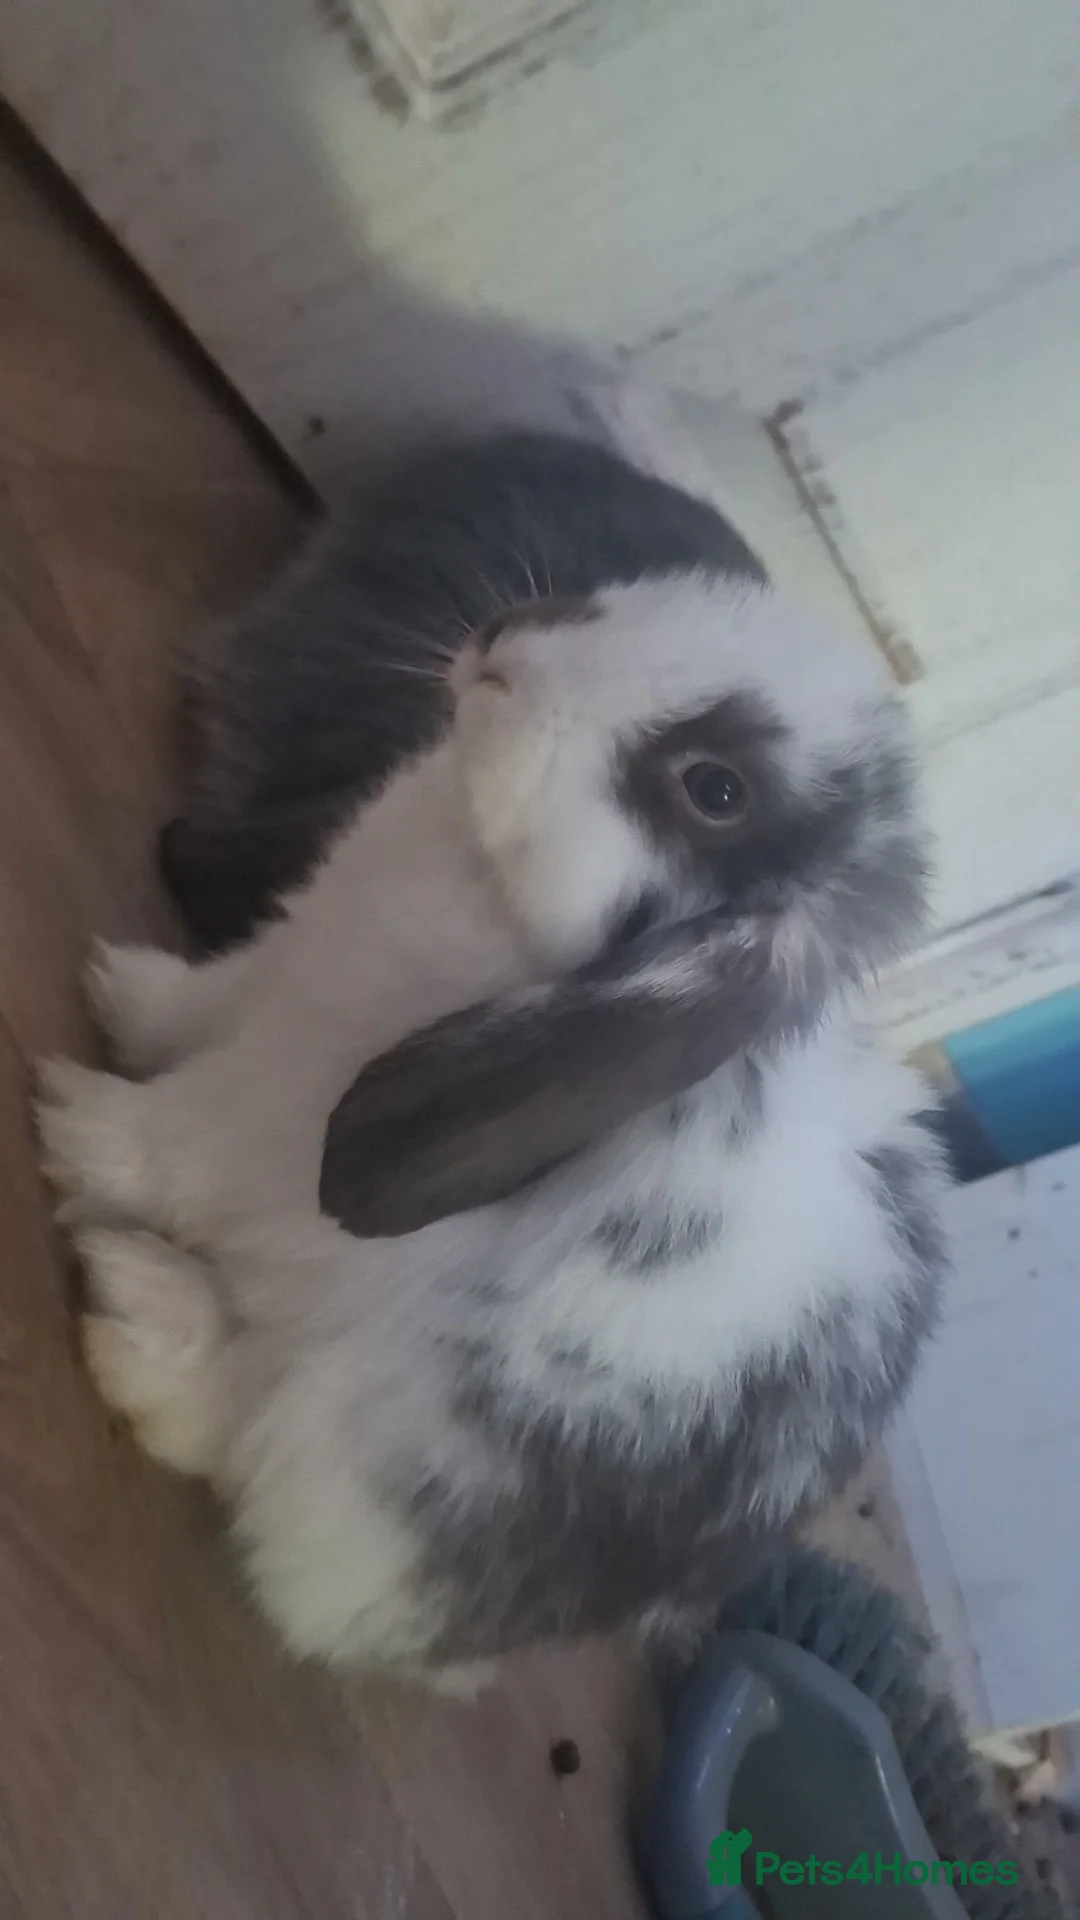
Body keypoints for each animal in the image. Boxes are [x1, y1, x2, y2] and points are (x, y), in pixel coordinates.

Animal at [37, 541, 949, 1688]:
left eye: (716, 788)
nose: (514, 637)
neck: (477, 877)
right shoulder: (272, 976)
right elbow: (198, 1003)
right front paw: (120, 989)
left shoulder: (276, 1109)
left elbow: (173, 1142)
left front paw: (71, 1115)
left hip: (377, 1443)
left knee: (245, 1438)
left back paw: (139, 1311)